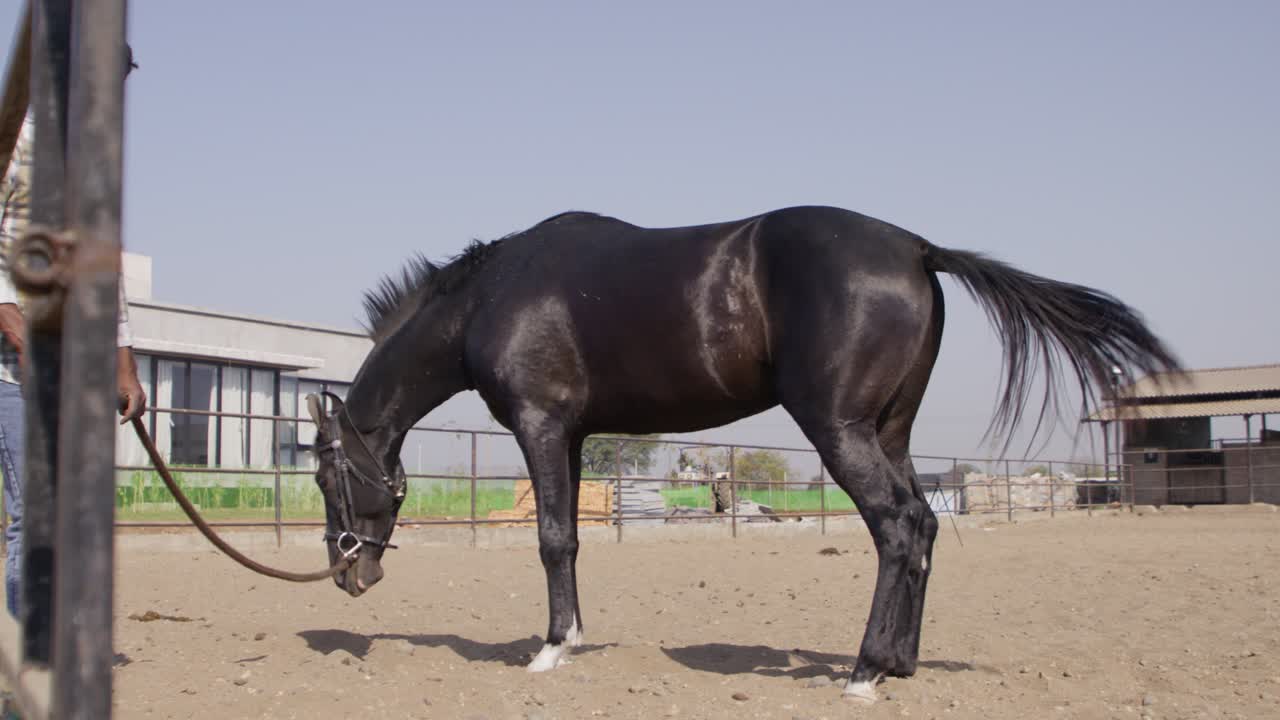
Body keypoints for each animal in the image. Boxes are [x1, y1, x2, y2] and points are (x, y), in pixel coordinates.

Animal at [304, 205, 1178, 702]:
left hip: (840, 430)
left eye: (323, 474)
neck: (493, 295)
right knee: (923, 528)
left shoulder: (540, 426)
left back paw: (864, 672)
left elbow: (552, 539)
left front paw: (551, 649)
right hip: (887, 431)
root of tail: (917, 249)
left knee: (897, 528)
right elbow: (574, 538)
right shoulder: (575, 436)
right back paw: (900, 664)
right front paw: (571, 637)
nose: (348, 573)